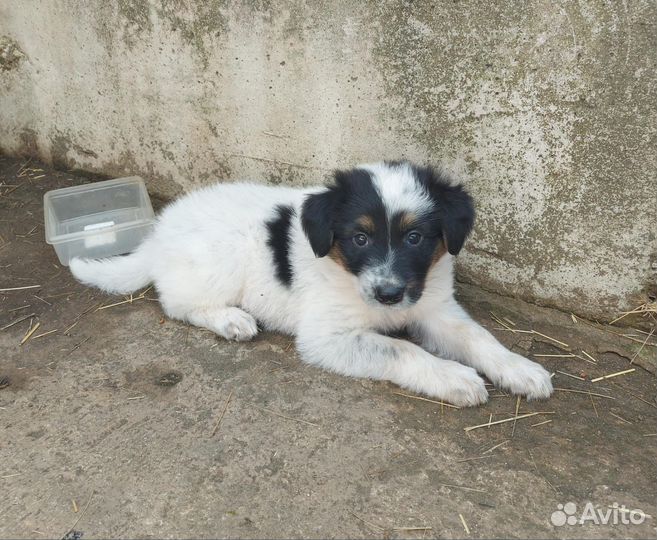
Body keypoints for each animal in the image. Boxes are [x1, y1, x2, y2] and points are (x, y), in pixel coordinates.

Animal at [70, 162, 552, 408]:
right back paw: (231, 320)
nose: (389, 295)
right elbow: (400, 349)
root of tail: (157, 234)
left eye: (415, 238)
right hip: (218, 259)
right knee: (176, 302)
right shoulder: (327, 336)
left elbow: (478, 336)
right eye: (360, 238)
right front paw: (455, 377)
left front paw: (520, 368)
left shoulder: (432, 306)